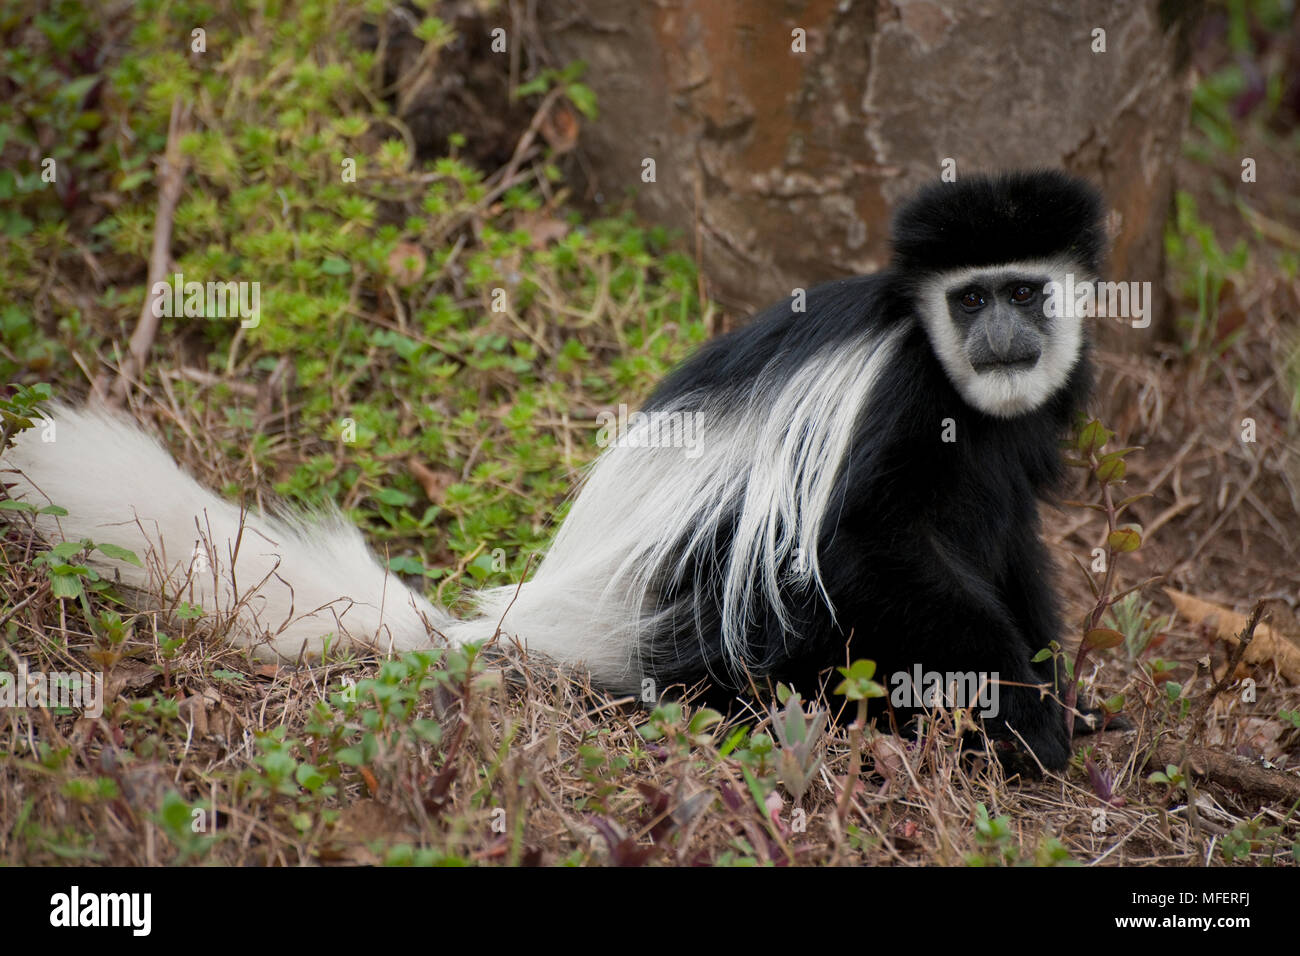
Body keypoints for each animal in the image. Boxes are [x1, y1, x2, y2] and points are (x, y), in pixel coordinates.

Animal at [5, 167, 1102, 775]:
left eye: (1024, 292)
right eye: (968, 300)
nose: (1001, 334)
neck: (964, 389)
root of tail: (562, 610)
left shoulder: (1017, 443)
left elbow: (1011, 542)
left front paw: (1068, 703)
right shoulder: (896, 400)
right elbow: (868, 544)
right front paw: (1028, 722)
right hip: (717, 606)